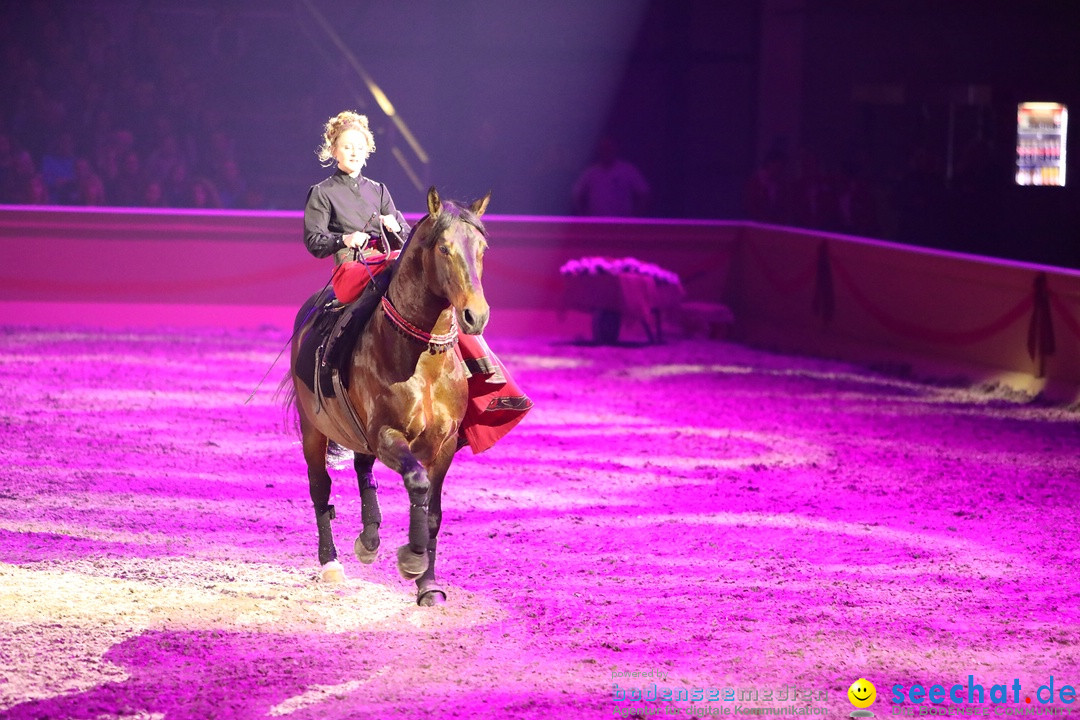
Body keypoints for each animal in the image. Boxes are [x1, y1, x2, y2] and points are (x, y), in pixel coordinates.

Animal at [287, 187, 490, 608]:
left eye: (481, 248)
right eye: (444, 248)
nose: (475, 316)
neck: (423, 359)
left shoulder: (444, 444)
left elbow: (433, 510)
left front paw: (428, 584)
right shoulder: (387, 435)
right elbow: (416, 482)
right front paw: (412, 558)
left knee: (362, 468)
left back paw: (369, 538)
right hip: (314, 429)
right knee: (320, 489)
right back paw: (331, 564)